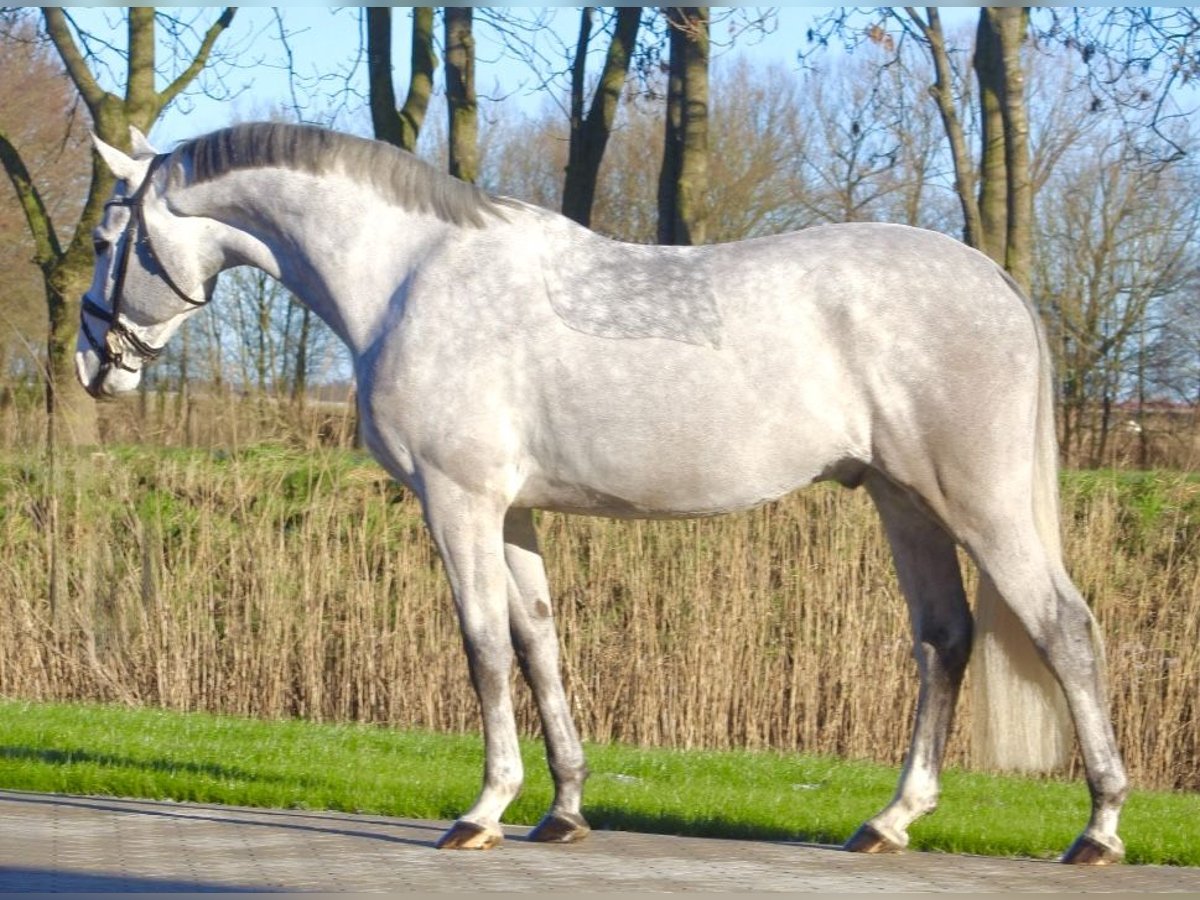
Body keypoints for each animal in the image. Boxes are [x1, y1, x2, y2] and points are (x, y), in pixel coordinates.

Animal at [79, 123, 1128, 864]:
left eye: (104, 236)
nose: (95, 364)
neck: (410, 277)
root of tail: (994, 279)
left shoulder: (457, 501)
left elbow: (482, 647)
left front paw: (483, 811)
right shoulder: (513, 512)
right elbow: (539, 643)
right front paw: (565, 810)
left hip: (979, 503)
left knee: (1064, 629)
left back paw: (1099, 828)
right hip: (903, 500)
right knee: (943, 639)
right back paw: (891, 820)